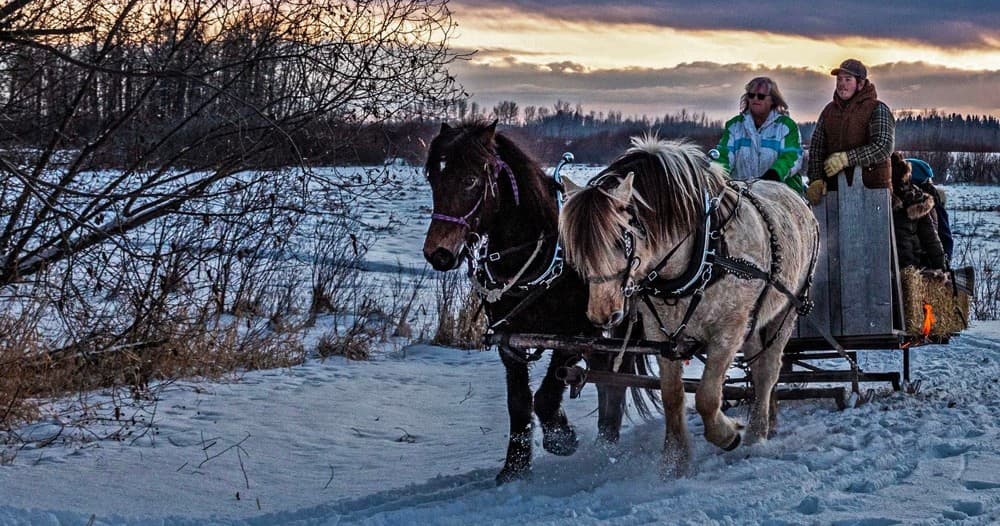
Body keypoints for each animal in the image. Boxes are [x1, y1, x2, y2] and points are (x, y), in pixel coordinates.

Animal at [421, 120, 656, 484]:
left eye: (470, 180)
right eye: (432, 177)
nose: (439, 253)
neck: (542, 255)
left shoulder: (578, 334)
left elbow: (545, 397)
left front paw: (562, 438)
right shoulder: (509, 340)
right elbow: (518, 402)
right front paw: (514, 468)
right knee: (609, 378)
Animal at [559, 136, 819, 476]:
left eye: (621, 240)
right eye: (576, 249)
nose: (603, 315)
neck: (705, 251)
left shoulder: (727, 330)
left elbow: (707, 396)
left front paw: (728, 434)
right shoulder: (661, 334)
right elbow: (672, 395)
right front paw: (675, 460)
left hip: (786, 310)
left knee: (768, 370)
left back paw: (756, 434)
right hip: (754, 319)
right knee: (758, 363)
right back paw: (769, 420)